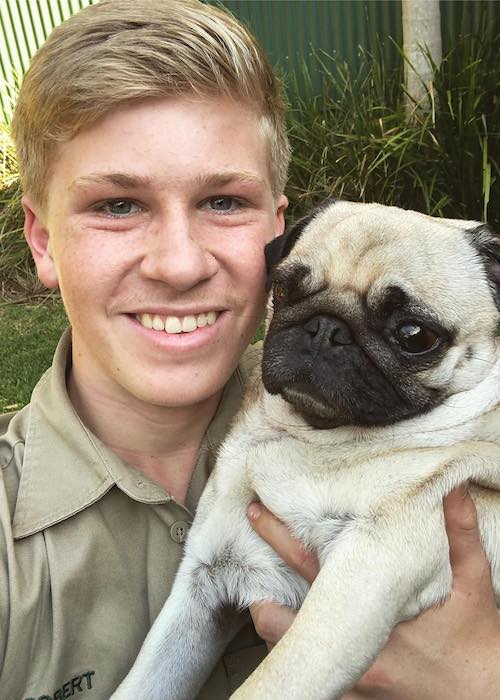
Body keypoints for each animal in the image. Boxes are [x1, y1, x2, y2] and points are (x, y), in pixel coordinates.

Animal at [112, 200, 500, 696]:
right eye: (283, 288)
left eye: (414, 335)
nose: (325, 328)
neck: (312, 439)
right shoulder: (203, 579)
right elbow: (149, 677)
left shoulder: (367, 570)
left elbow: (267, 684)